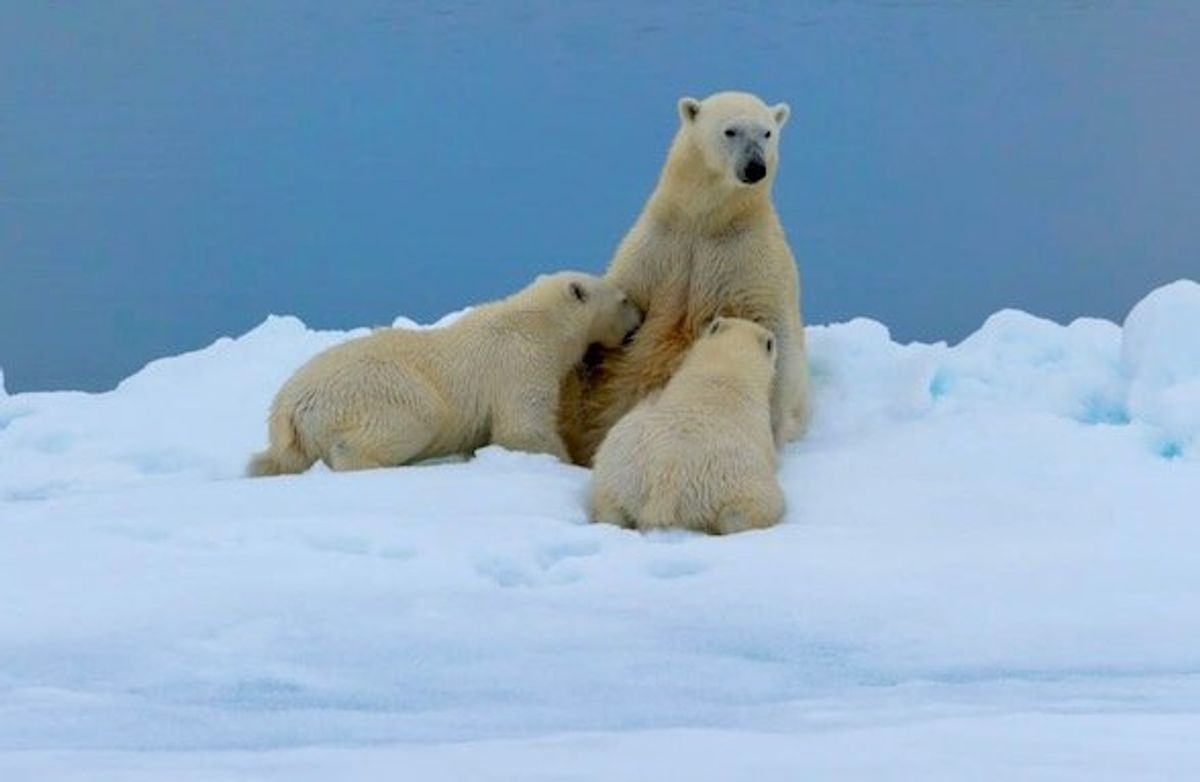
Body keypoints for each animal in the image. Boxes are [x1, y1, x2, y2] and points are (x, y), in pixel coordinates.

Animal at [247, 272, 643, 476]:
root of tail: (287, 408)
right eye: (624, 299)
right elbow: (523, 427)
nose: (640, 317)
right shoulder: (521, 364)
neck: (540, 324)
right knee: (414, 416)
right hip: (373, 390)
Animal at [559, 90, 809, 467]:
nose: (755, 168)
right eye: (730, 130)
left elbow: (771, 324)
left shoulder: (749, 256)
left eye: (767, 132)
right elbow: (622, 304)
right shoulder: (658, 248)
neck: (705, 221)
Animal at [589, 317, 784, 535]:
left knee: (609, 507)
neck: (725, 367)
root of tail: (664, 485)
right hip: (731, 483)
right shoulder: (761, 428)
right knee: (747, 511)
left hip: (618, 471)